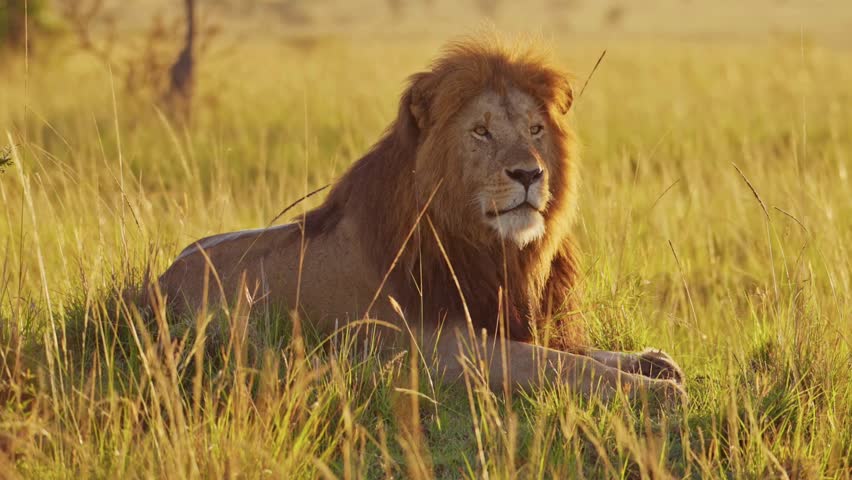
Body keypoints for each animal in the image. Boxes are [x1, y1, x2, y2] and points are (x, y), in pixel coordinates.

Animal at [157, 38, 686, 405]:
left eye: (536, 130)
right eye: (481, 132)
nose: (529, 174)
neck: (490, 248)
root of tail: (154, 283)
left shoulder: (503, 316)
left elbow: (575, 351)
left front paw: (651, 362)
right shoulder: (438, 349)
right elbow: (558, 365)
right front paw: (655, 392)